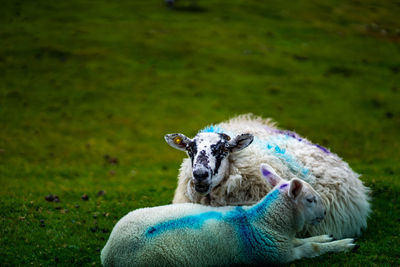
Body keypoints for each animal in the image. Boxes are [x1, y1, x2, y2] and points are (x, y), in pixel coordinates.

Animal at [100, 164, 356, 266]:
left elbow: (305, 240)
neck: (264, 221)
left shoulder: (283, 242)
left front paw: (326, 237)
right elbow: (311, 248)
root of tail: (109, 251)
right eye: (310, 200)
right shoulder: (279, 256)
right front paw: (343, 244)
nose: (325, 213)